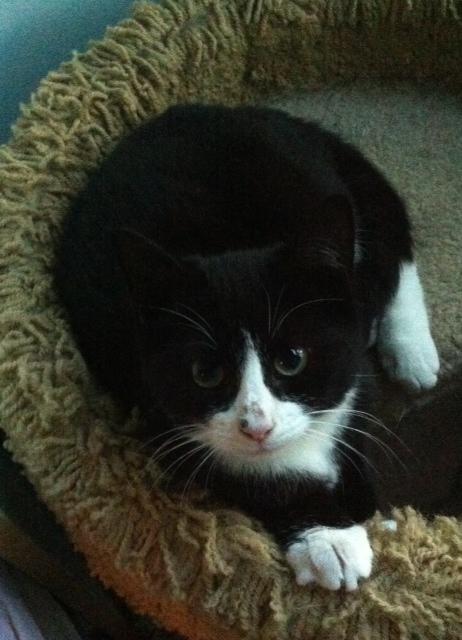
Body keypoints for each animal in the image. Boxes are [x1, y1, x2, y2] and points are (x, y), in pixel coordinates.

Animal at [52, 104, 438, 592]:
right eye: (205, 373)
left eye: (291, 359)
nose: (257, 427)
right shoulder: (154, 406)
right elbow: (240, 473)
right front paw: (329, 538)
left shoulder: (348, 367)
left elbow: (352, 430)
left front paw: (363, 512)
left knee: (386, 244)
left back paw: (412, 352)